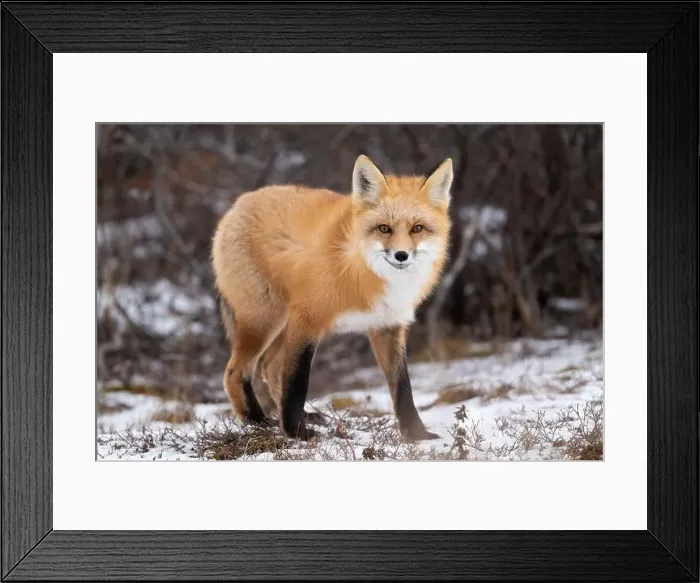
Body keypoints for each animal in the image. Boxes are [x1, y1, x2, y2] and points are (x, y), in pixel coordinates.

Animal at [211, 154, 453, 441]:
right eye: (384, 228)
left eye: (418, 228)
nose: (401, 255)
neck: (360, 268)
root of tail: (237, 204)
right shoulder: (307, 318)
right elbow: (297, 381)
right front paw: (296, 433)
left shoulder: (387, 326)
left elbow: (403, 387)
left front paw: (417, 434)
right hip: (265, 320)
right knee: (236, 372)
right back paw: (256, 420)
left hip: (280, 325)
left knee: (269, 368)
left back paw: (292, 416)